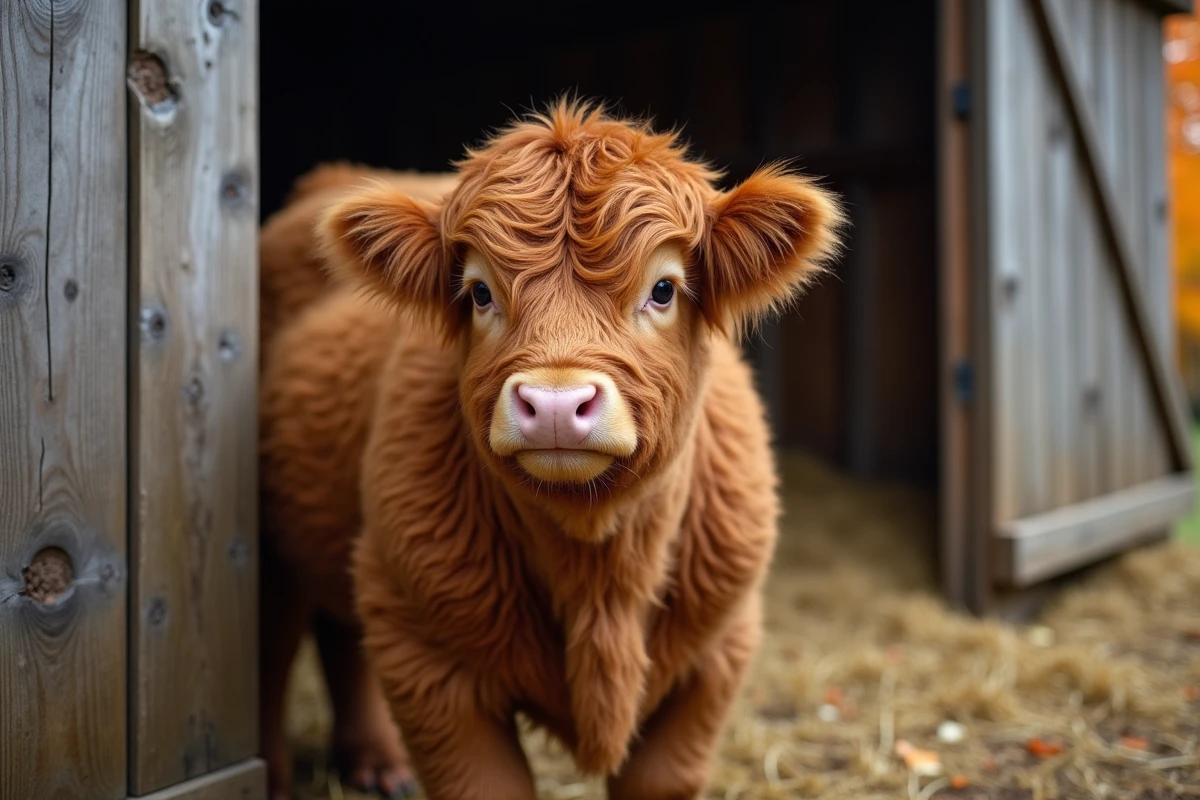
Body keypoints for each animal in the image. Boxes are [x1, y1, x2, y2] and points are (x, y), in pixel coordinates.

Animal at [259, 100, 843, 800]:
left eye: (664, 289)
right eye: (480, 293)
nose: (557, 405)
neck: (597, 573)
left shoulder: (719, 648)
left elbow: (661, 778)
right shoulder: (424, 648)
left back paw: (375, 763)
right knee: (273, 654)